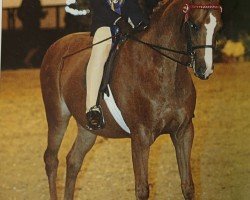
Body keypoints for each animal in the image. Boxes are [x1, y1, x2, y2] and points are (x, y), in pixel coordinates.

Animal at [41, 0, 223, 199]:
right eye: (194, 25)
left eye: (219, 28)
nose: (204, 69)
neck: (162, 70)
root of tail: (56, 45)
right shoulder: (140, 137)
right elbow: (142, 190)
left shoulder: (184, 132)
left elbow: (188, 186)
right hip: (57, 116)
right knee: (51, 159)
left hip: (87, 128)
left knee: (73, 160)